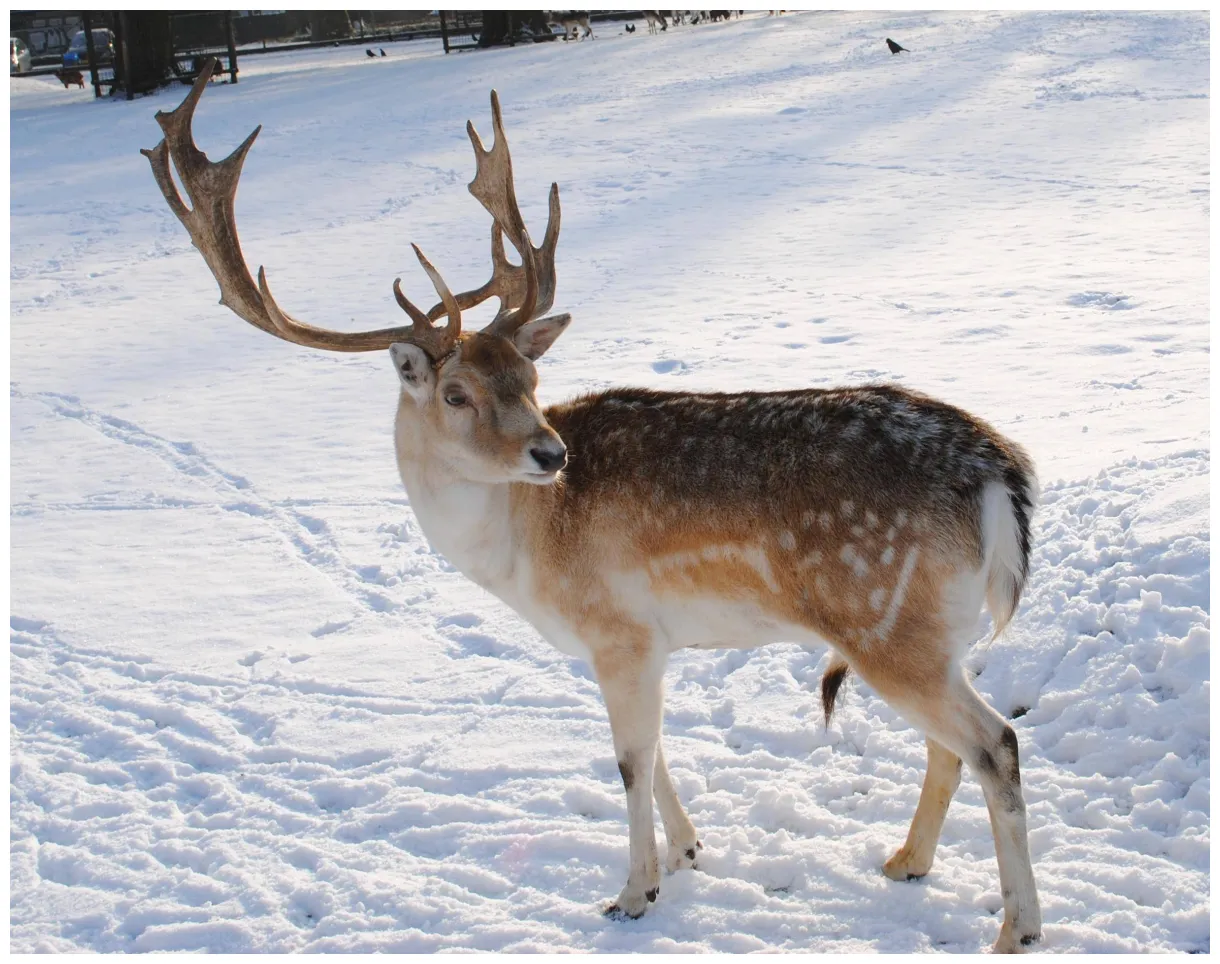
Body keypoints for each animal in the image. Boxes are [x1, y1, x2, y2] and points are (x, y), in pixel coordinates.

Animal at [142, 60, 1042, 952]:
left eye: (530, 378)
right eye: (459, 392)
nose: (551, 454)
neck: (524, 553)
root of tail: (999, 473)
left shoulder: (616, 628)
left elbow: (629, 762)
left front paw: (632, 893)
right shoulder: (644, 642)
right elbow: (658, 749)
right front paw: (686, 852)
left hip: (882, 616)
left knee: (994, 741)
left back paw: (1017, 927)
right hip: (929, 630)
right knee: (951, 746)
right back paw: (906, 861)